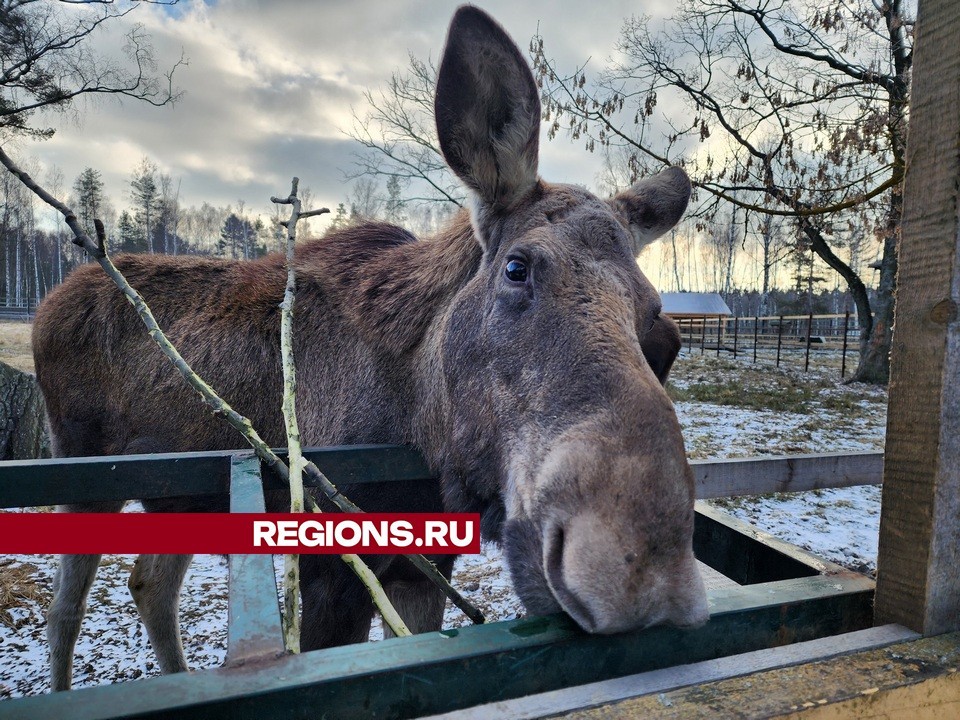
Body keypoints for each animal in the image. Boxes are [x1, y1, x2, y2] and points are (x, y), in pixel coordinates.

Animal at [33, 5, 708, 692]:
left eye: (660, 327)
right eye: (517, 268)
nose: (639, 575)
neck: (418, 427)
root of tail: (51, 299)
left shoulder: (424, 565)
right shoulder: (331, 570)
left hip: (179, 498)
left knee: (149, 584)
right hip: (82, 473)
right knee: (66, 609)